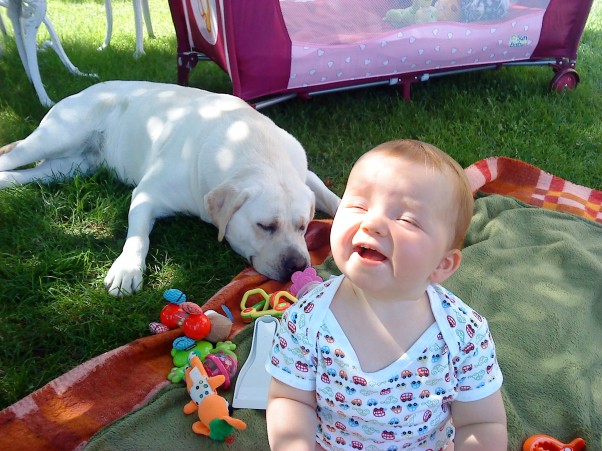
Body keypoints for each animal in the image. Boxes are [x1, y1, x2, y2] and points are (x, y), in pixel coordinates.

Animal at [0, 81, 338, 296]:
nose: (298, 267)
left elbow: (332, 196)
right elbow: (138, 236)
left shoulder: (307, 175)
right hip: (57, 136)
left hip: (71, 166)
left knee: (33, 174)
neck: (253, 149)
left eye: (303, 226)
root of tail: (82, 91)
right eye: (265, 226)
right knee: (12, 155)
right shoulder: (147, 195)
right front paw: (127, 270)